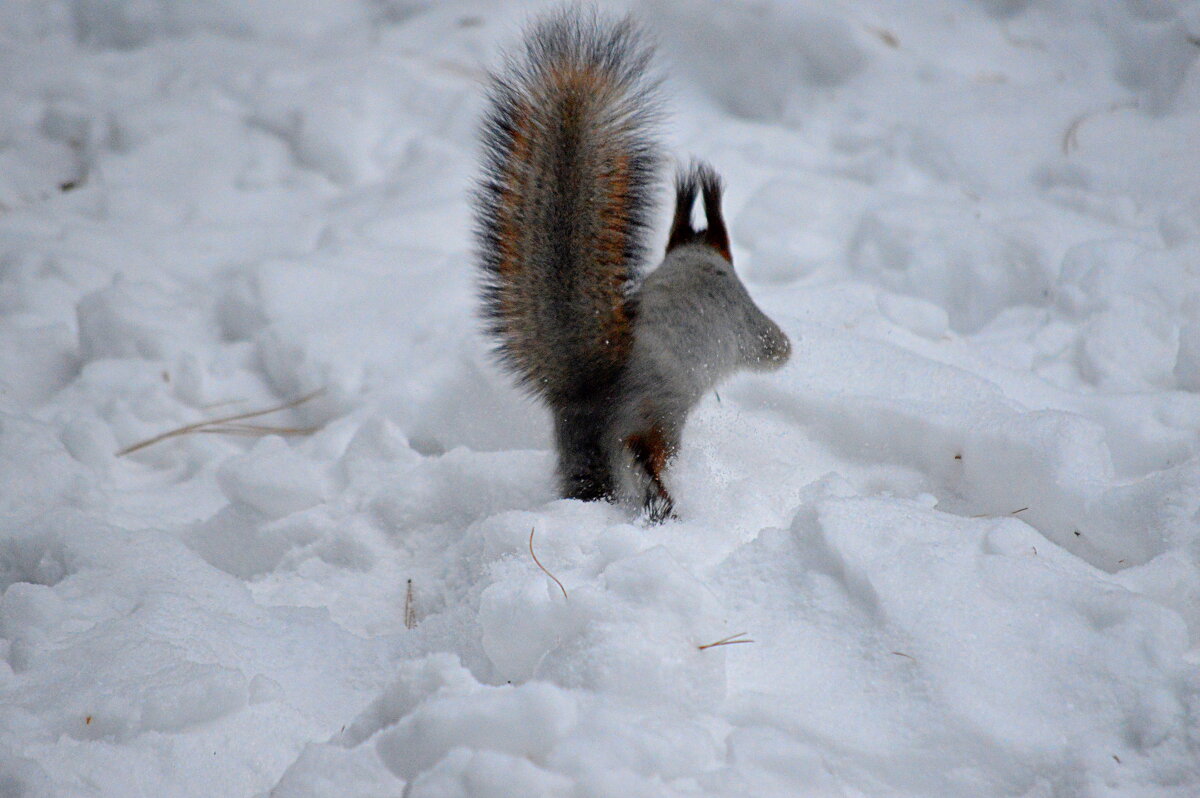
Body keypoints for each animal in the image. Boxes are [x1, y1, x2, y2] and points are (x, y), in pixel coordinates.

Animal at [472, 7, 792, 523]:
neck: (692, 258)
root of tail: (589, 394)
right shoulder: (743, 312)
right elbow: (770, 344)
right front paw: (786, 349)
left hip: (579, 454)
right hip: (655, 419)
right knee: (648, 462)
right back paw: (669, 508)